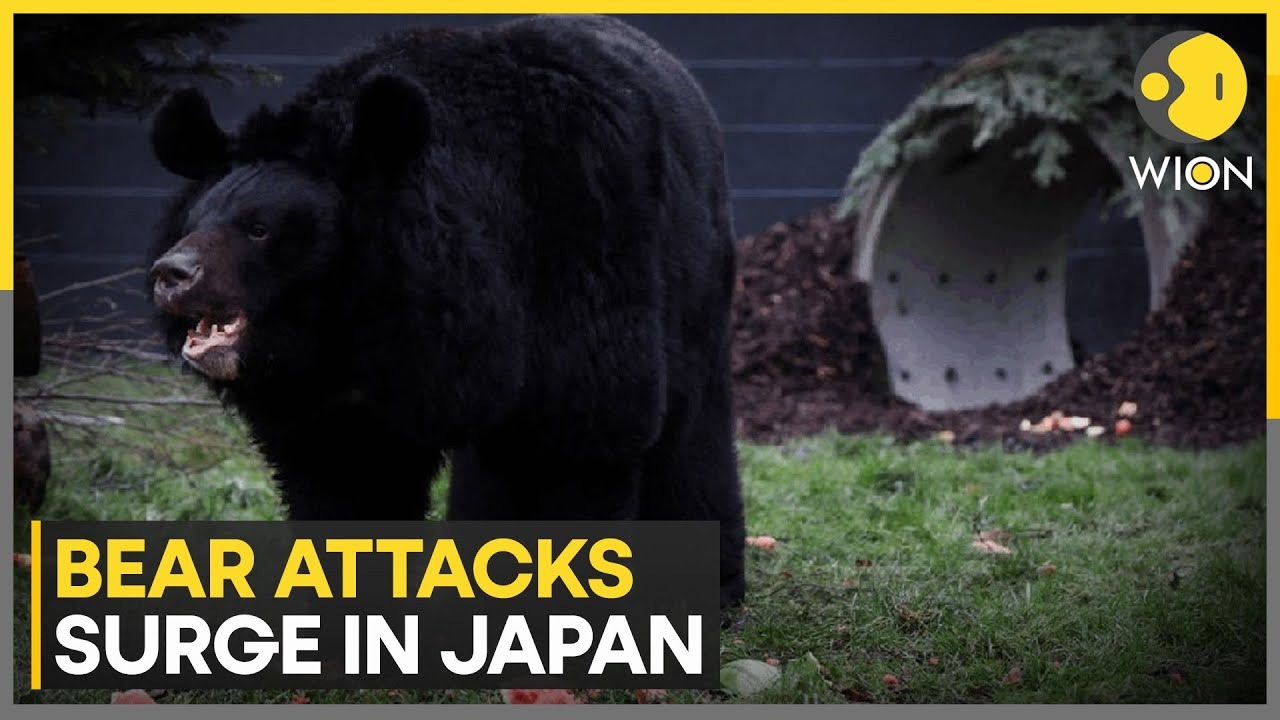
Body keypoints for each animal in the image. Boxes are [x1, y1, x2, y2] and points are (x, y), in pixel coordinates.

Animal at [145, 14, 746, 607]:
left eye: (259, 229)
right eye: (195, 220)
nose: (171, 275)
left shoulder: (577, 261)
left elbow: (579, 436)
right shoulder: (338, 391)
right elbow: (349, 476)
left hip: (693, 282)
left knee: (691, 424)